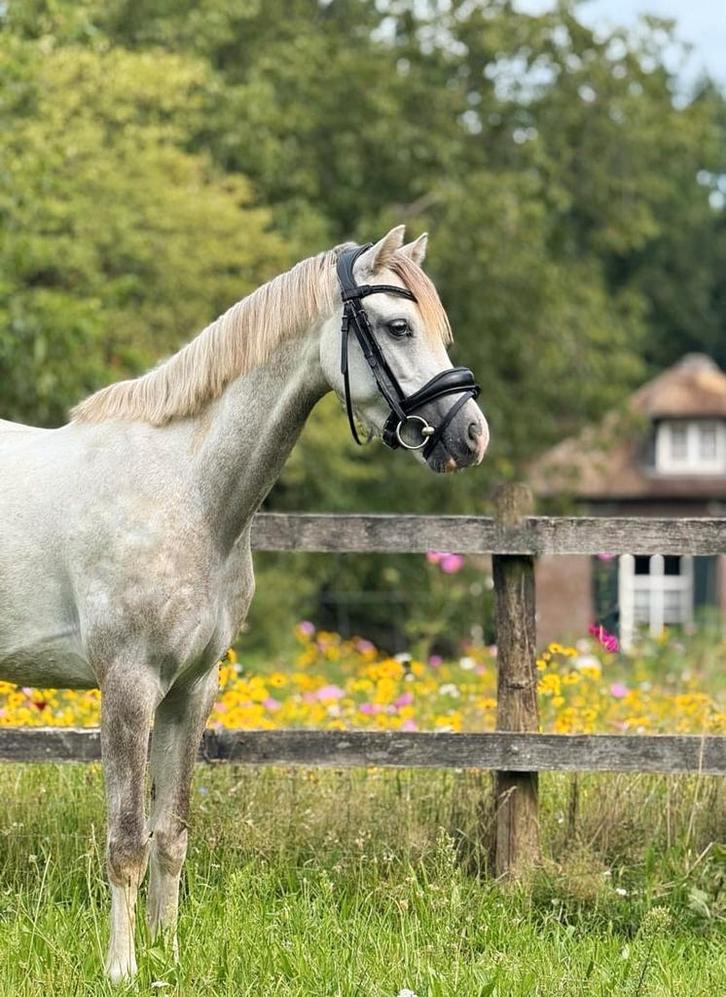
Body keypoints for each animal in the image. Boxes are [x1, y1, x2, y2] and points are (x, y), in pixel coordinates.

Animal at [0, 226, 488, 981]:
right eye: (398, 326)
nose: (471, 435)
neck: (189, 491)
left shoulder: (191, 689)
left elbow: (171, 833)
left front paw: (167, 955)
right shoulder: (128, 686)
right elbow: (126, 840)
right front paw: (121, 969)